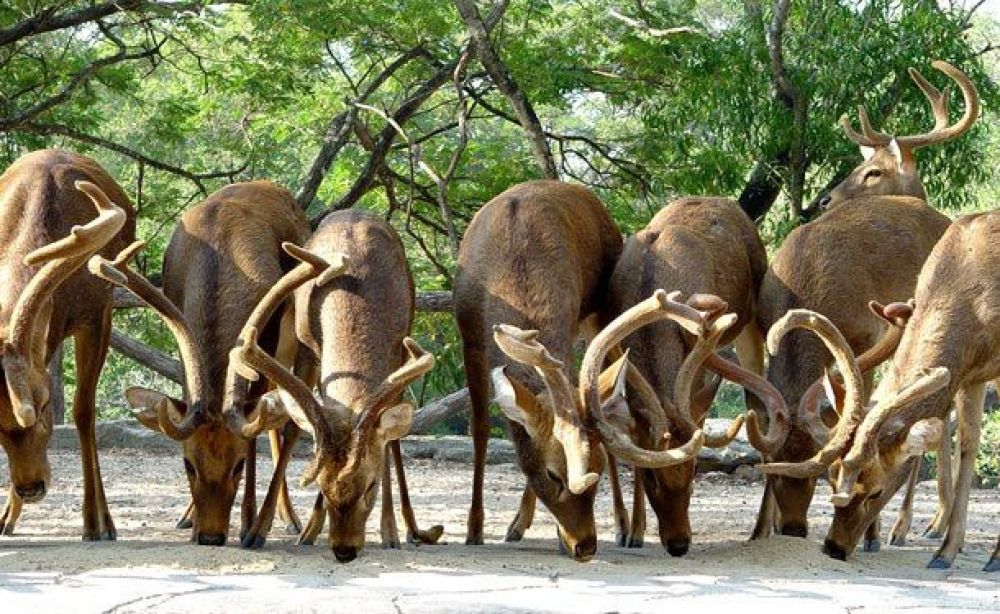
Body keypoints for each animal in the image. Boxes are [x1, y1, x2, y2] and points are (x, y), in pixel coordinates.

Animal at [0, 148, 133, 540]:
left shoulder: (98, 313)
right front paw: (5, 516)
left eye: (44, 404)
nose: (30, 487)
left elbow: (83, 411)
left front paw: (97, 522)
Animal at [89, 183, 308, 548]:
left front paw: (248, 524)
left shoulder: (265, 343)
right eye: (188, 463)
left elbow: (255, 432)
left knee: (287, 424)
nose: (210, 535)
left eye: (238, 465)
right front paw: (188, 515)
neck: (220, 255)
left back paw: (284, 520)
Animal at [225, 211, 448, 564]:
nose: (344, 549)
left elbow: (387, 440)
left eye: (370, 485)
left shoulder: (400, 347)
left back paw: (413, 529)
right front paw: (266, 530)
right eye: (321, 484)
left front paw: (390, 532)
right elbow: (296, 429)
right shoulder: (308, 348)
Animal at [752, 60, 976, 548]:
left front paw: (870, 527)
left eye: (873, 172)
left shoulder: (868, 339)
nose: (823, 199)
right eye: (773, 473)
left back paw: (913, 525)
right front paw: (762, 526)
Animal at [756, 212, 1000, 572]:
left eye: (875, 491)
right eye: (831, 479)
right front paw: (947, 550)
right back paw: (926, 527)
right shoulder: (970, 374)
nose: (833, 547)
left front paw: (990, 556)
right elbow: (968, 444)